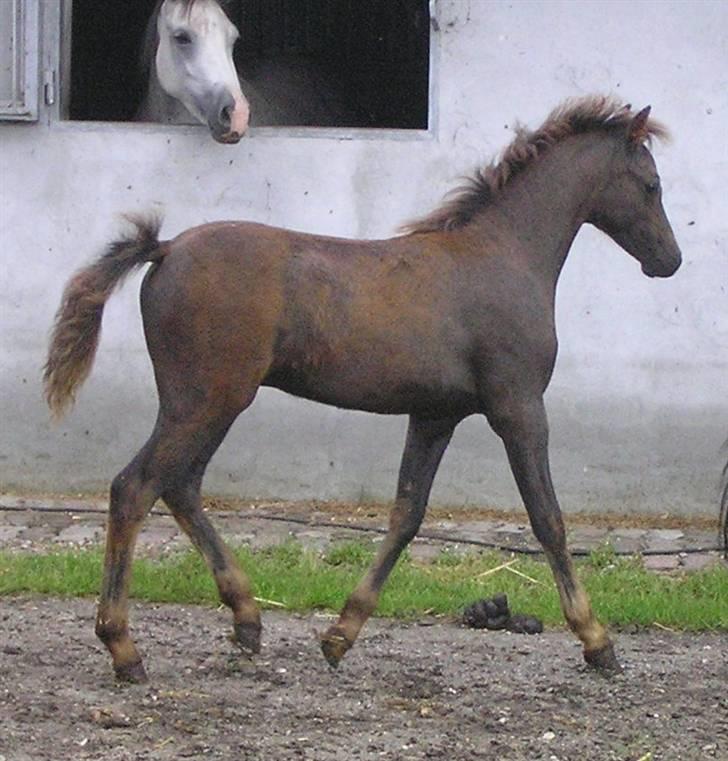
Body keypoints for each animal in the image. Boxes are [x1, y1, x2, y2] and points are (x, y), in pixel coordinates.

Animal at [44, 96, 682, 683]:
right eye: (651, 183)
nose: (669, 260)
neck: (503, 256)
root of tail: (167, 248)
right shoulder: (519, 407)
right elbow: (548, 518)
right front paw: (597, 640)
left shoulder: (435, 416)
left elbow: (406, 515)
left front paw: (340, 635)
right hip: (207, 399)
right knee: (135, 488)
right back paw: (124, 647)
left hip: (211, 402)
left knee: (179, 486)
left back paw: (246, 619)